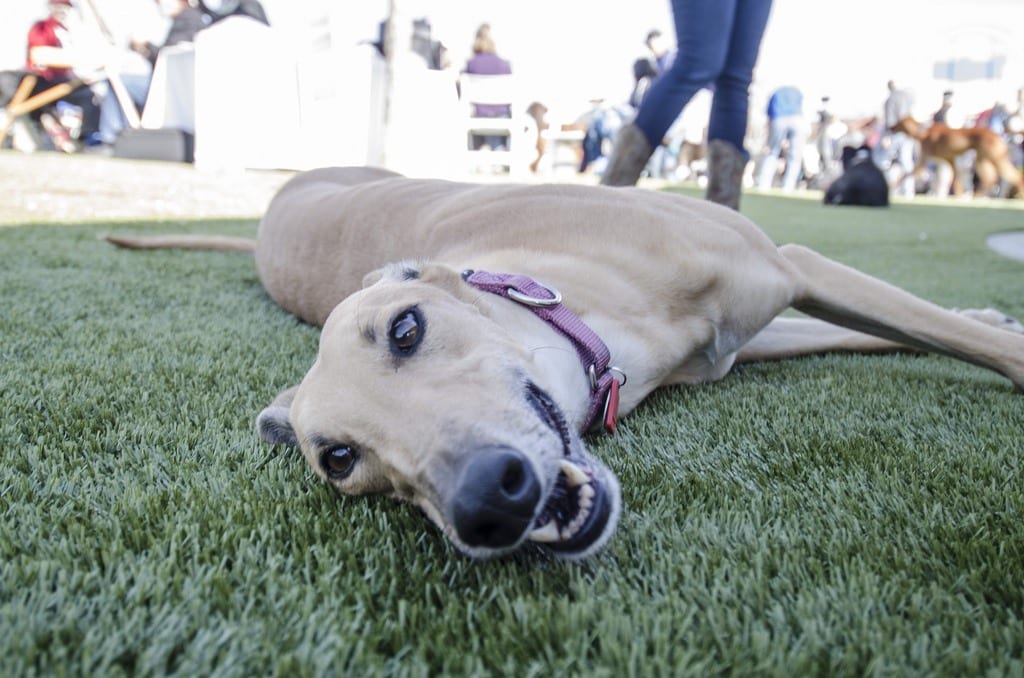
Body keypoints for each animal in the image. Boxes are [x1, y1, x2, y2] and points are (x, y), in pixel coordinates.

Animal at [108, 166, 1019, 561]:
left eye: (405, 329)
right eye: (339, 459)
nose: (486, 502)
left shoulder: (785, 270)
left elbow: (936, 331)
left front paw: (985, 322)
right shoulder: (743, 335)